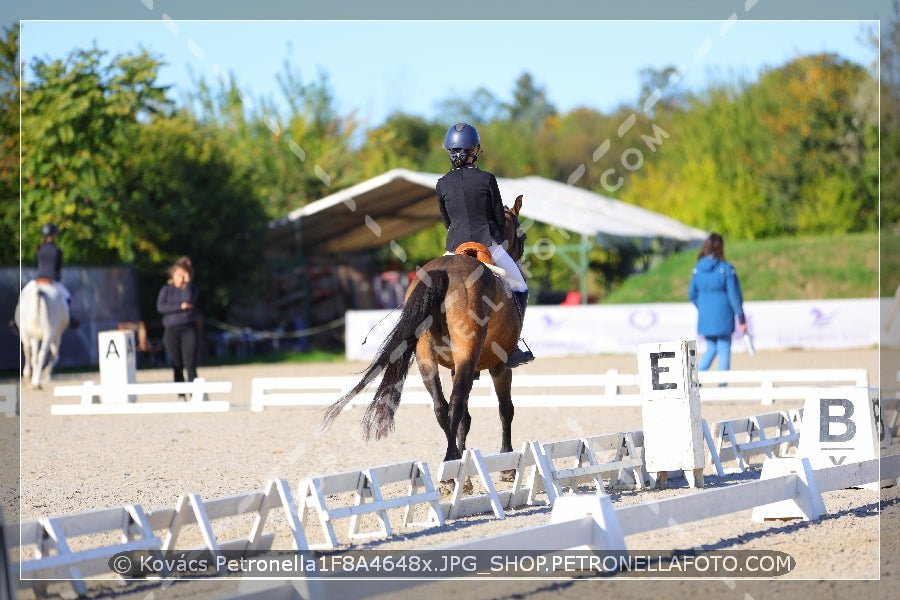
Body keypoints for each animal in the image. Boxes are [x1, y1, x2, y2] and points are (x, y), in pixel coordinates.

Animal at [322, 195, 528, 462]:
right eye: (523, 236)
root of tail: (444, 271)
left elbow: (466, 418)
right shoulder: (499, 363)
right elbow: (505, 409)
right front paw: (507, 457)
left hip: (425, 356)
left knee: (441, 406)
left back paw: (453, 460)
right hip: (466, 352)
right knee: (456, 401)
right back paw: (452, 459)